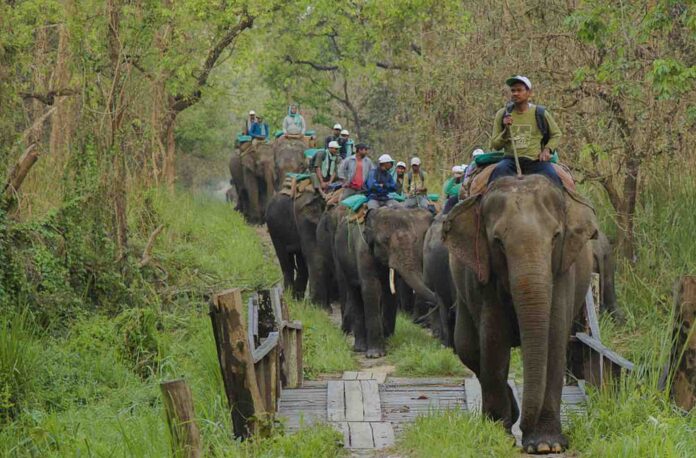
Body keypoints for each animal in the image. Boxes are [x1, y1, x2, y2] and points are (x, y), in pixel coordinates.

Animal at [334, 208, 438, 358]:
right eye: (385, 240)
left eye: (415, 239)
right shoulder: (363, 251)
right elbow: (372, 288)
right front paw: (375, 354)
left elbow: (389, 291)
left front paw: (388, 341)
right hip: (344, 262)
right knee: (354, 291)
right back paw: (360, 348)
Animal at [444, 175, 596, 454]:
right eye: (498, 242)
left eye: (556, 236)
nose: (524, 428)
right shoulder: (483, 275)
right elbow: (494, 341)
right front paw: (498, 435)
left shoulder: (562, 272)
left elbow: (554, 338)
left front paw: (546, 445)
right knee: (468, 348)